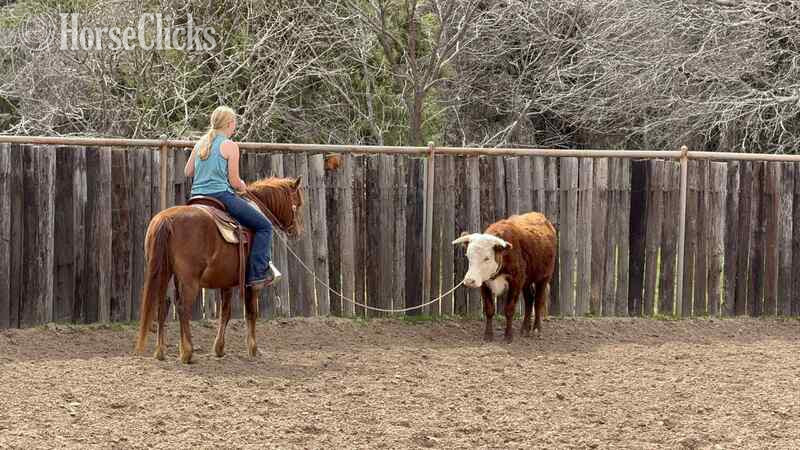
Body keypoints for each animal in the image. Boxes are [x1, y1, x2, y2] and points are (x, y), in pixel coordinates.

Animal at [134, 176, 304, 363]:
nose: (297, 231)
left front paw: (219, 348)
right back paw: (187, 352)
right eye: (298, 203)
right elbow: (251, 312)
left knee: (162, 304)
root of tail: (166, 219)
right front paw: (253, 349)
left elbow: (225, 312)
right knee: (183, 307)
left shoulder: (226, 281)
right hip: (189, 279)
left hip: (164, 272)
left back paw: (160, 351)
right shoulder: (252, 285)